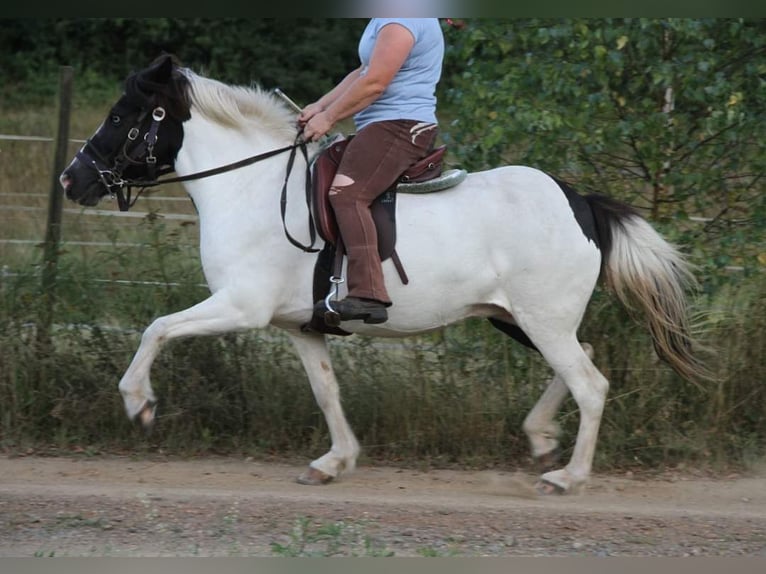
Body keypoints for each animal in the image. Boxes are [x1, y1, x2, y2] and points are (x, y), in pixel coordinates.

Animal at [60, 55, 708, 496]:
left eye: (121, 116)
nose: (72, 179)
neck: (250, 187)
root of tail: (579, 201)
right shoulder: (299, 326)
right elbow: (326, 391)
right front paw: (335, 461)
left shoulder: (240, 306)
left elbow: (157, 328)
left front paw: (139, 403)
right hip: (519, 319)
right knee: (584, 361)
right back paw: (542, 438)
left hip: (541, 320)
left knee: (590, 384)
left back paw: (567, 477)